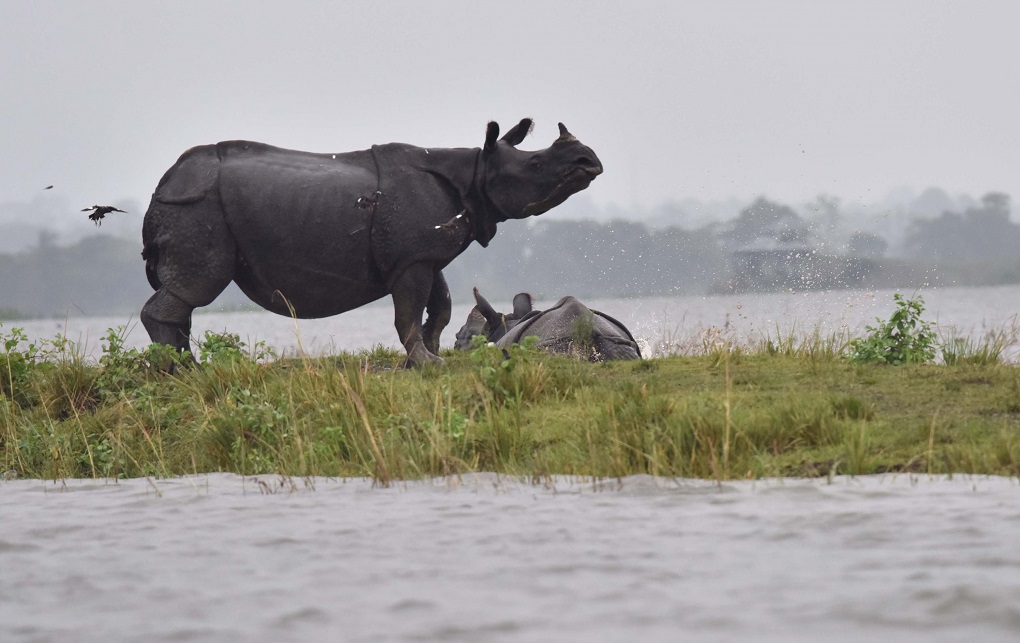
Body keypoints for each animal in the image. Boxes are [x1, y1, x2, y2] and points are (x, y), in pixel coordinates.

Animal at [139, 118, 599, 365]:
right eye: (535, 164)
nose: (588, 161)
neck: (475, 172)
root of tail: (162, 185)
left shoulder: (422, 254)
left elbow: (441, 305)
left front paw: (431, 356)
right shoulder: (412, 258)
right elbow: (408, 311)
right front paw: (427, 363)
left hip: (194, 203)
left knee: (185, 295)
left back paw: (182, 368)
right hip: (198, 207)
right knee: (196, 284)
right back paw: (186, 373)